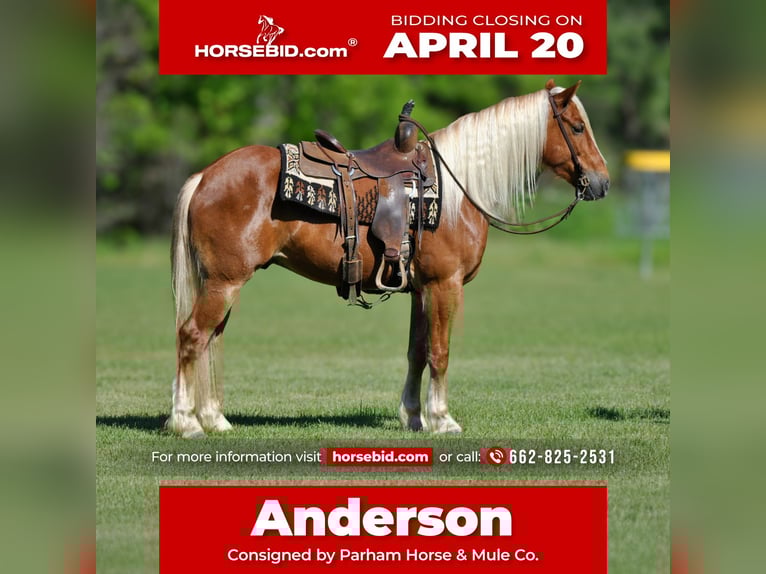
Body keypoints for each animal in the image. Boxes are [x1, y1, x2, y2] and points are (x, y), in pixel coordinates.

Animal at [167, 79, 609, 438]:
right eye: (576, 128)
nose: (602, 182)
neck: (456, 188)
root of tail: (205, 176)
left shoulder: (421, 289)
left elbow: (417, 352)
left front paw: (414, 417)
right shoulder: (445, 285)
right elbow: (440, 352)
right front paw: (442, 420)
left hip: (223, 283)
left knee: (211, 339)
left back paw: (215, 419)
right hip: (225, 283)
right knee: (192, 336)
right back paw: (187, 423)